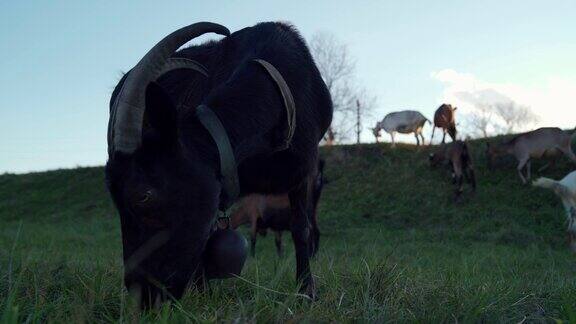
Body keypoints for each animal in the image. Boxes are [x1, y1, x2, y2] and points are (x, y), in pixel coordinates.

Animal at [105, 22, 330, 308]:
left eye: (143, 195)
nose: (142, 294)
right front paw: (203, 295)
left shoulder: (304, 168)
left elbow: (301, 228)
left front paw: (306, 292)